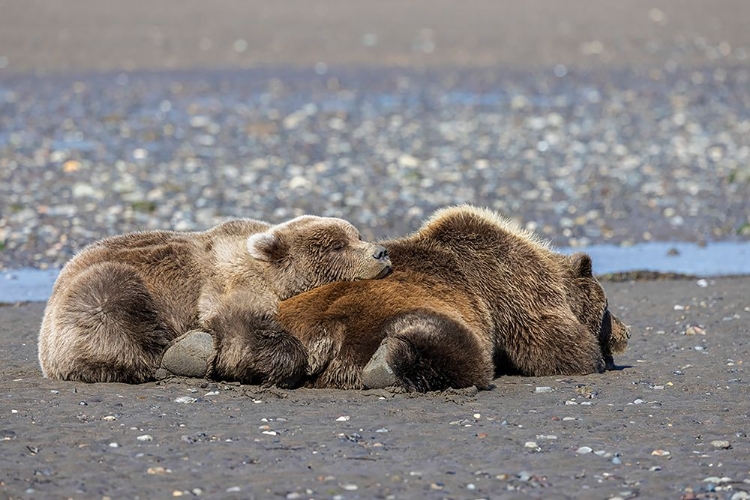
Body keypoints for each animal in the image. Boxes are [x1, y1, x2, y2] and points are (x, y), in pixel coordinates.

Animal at [39, 213, 394, 384]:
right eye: (337, 245)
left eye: (357, 235)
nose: (380, 252)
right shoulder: (228, 285)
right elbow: (241, 328)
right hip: (99, 292)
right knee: (114, 304)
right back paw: (173, 356)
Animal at [280, 205, 632, 392]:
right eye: (607, 308)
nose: (626, 330)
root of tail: (322, 336)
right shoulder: (514, 286)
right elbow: (552, 341)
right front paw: (591, 358)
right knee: (463, 352)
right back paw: (389, 359)